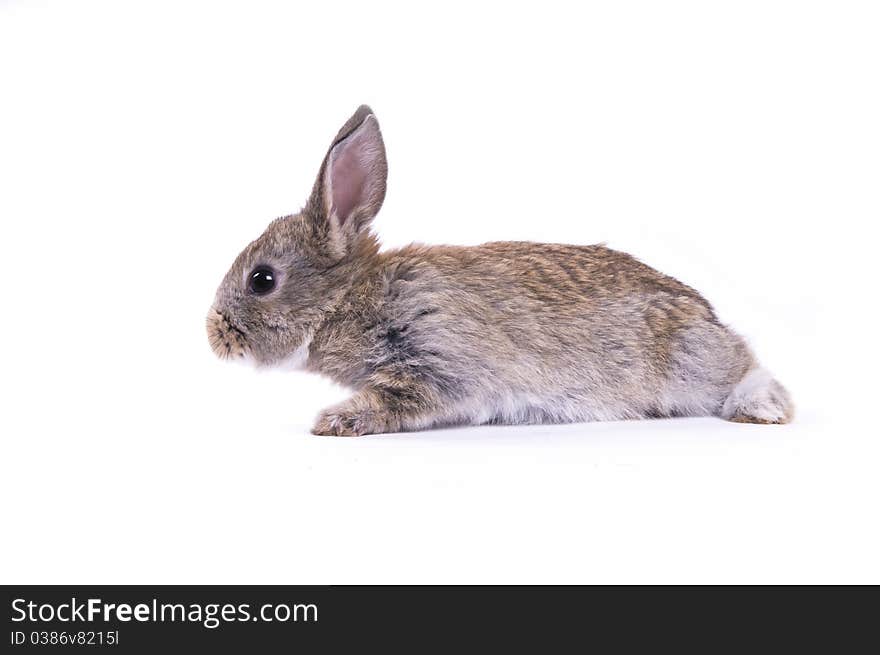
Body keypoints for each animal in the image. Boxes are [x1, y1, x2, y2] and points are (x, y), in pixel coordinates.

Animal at [206, 106, 792, 436]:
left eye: (262, 280)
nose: (214, 335)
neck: (355, 299)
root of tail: (707, 317)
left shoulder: (438, 359)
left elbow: (400, 397)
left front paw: (336, 421)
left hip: (689, 358)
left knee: (745, 369)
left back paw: (762, 410)